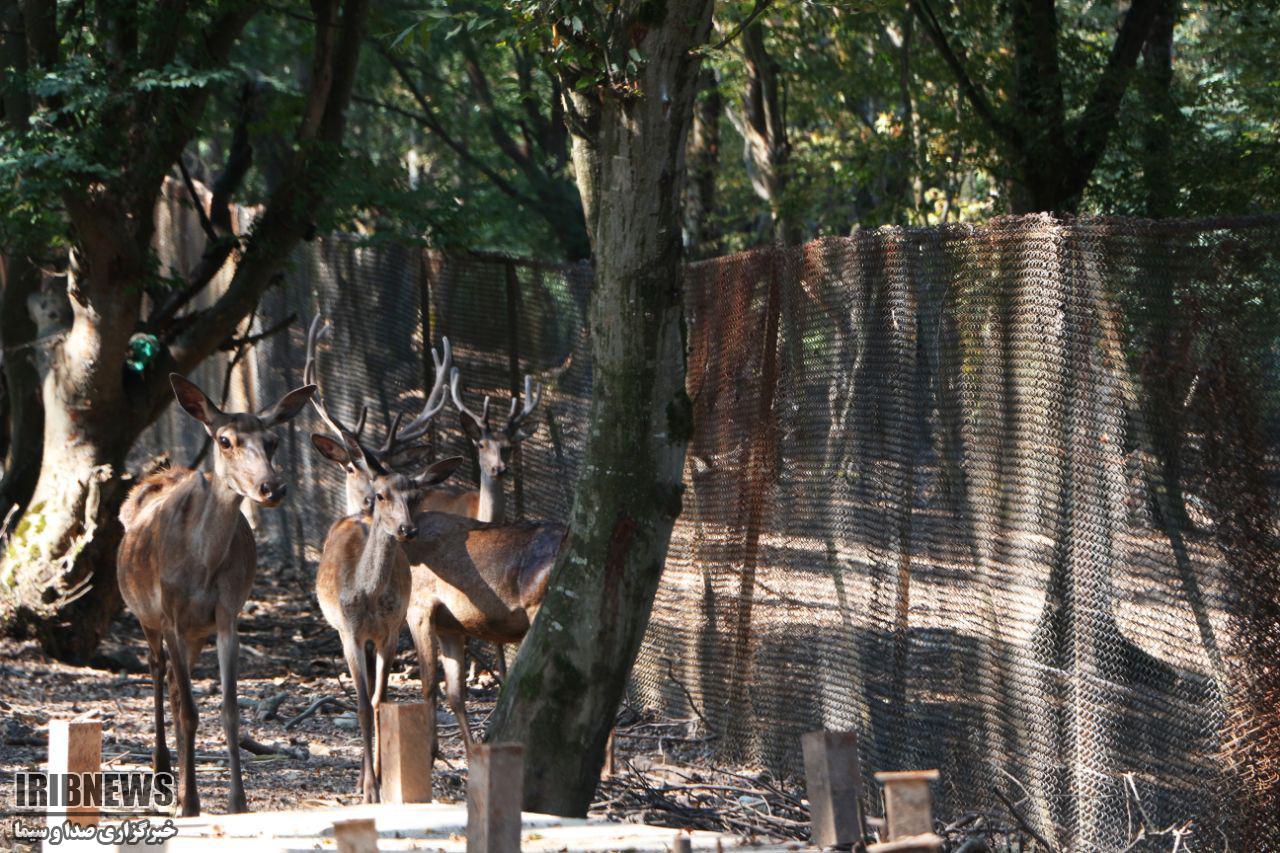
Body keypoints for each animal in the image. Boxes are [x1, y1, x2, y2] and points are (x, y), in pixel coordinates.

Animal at [117, 372, 316, 816]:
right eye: (225, 440)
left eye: (272, 441)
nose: (271, 487)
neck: (202, 565)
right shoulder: (171, 616)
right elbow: (191, 711)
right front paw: (190, 804)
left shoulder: (227, 617)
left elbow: (229, 711)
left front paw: (236, 803)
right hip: (147, 616)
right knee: (157, 673)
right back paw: (162, 774)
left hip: (194, 634)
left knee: (175, 688)